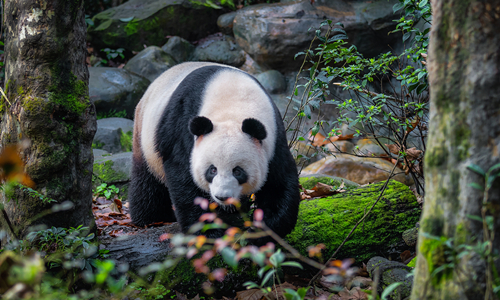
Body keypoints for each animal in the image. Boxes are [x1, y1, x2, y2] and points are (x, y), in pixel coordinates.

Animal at [130, 61, 300, 241]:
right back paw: (153, 217)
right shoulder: (182, 128)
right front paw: (209, 231)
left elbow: (278, 182)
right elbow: (184, 178)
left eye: (238, 171)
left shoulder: (274, 137)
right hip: (145, 134)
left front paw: (260, 231)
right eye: (212, 170)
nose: (222, 197)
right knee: (147, 179)